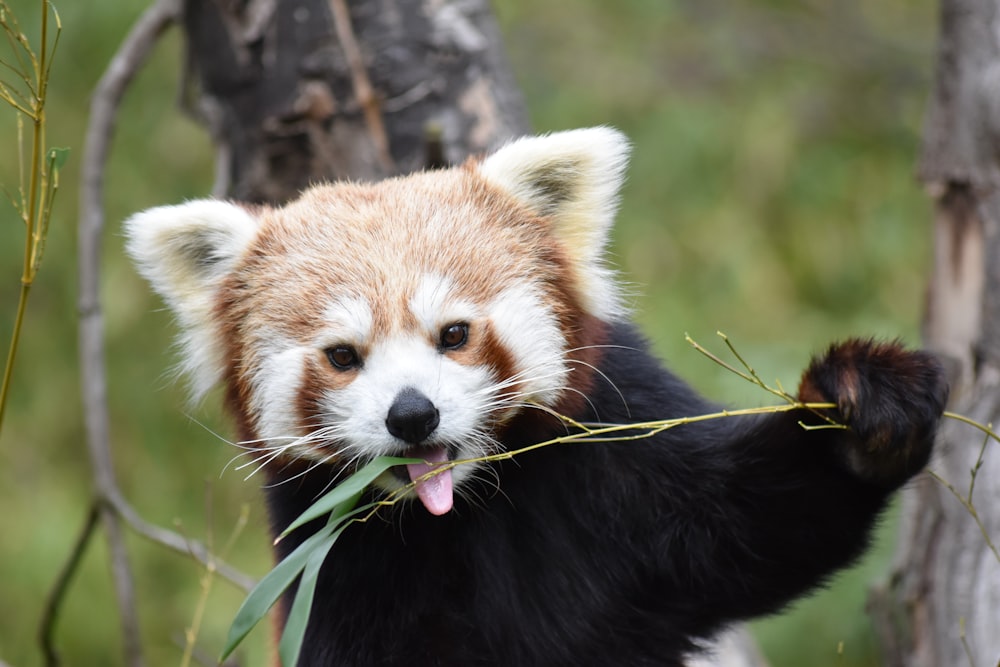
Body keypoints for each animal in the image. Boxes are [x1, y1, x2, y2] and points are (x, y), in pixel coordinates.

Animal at [125, 128, 944, 664]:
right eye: (343, 357)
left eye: (454, 333)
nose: (412, 414)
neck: (467, 510)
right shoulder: (333, 561)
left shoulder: (617, 452)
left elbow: (750, 528)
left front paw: (865, 413)